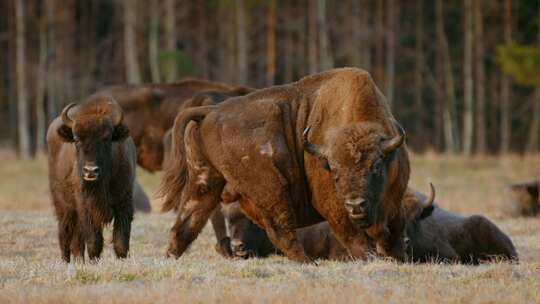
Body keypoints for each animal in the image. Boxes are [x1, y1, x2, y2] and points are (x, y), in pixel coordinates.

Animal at [46, 95, 136, 262]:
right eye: (76, 139)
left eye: (106, 138)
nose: (91, 171)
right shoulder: (86, 207)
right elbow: (94, 241)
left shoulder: (124, 202)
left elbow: (121, 241)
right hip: (63, 206)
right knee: (65, 234)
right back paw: (66, 261)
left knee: (76, 241)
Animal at [159, 67, 410, 262]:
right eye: (333, 170)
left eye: (376, 166)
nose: (355, 205)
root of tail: (211, 111)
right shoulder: (332, 205)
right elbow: (353, 237)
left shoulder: (393, 204)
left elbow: (391, 233)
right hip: (271, 188)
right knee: (281, 229)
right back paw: (308, 262)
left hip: (204, 180)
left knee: (188, 221)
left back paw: (170, 256)